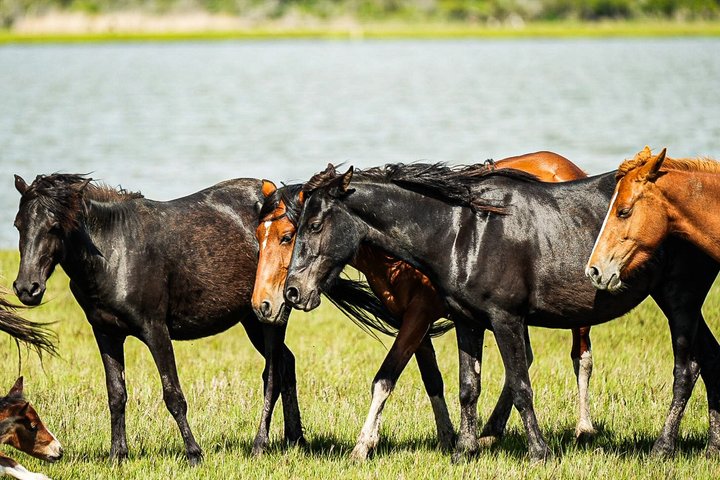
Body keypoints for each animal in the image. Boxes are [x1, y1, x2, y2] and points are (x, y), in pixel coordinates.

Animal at [11, 173, 397, 464]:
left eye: (54, 226)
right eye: (18, 225)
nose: (27, 288)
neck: (115, 251)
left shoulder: (155, 330)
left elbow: (173, 394)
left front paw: (194, 453)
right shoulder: (106, 333)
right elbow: (116, 394)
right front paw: (118, 455)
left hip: (269, 318)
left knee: (273, 374)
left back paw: (262, 445)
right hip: (253, 318)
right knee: (287, 365)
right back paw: (295, 439)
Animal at [252, 152, 593, 461]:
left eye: (289, 235)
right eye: (259, 235)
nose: (278, 297)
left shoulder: (419, 316)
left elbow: (385, 378)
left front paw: (363, 446)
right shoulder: (415, 320)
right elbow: (433, 379)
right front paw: (448, 438)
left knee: (581, 358)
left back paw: (584, 428)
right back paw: (490, 431)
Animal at [282, 163, 720, 461]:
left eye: (314, 225)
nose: (293, 291)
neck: (463, 232)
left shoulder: (506, 319)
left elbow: (522, 385)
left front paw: (539, 451)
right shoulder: (467, 322)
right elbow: (467, 388)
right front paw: (464, 450)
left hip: (679, 300)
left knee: (687, 369)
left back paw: (663, 448)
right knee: (710, 360)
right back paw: (713, 446)